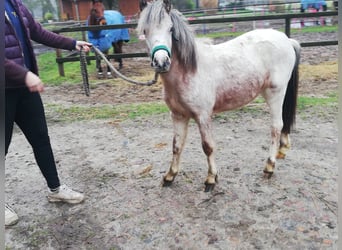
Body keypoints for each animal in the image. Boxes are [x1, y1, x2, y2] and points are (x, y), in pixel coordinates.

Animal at [138, 0, 300, 191]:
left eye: (170, 29)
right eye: (145, 31)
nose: (161, 62)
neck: (189, 71)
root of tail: (287, 40)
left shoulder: (203, 116)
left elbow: (208, 147)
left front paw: (211, 179)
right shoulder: (178, 116)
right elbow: (176, 146)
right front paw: (170, 176)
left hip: (275, 93)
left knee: (276, 127)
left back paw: (269, 166)